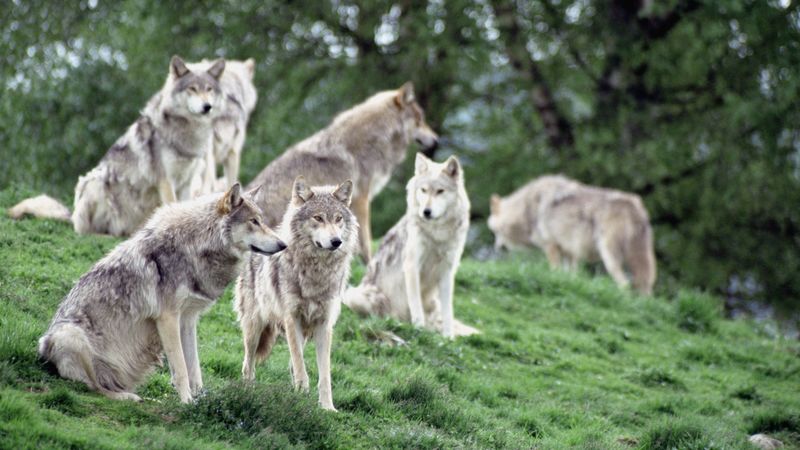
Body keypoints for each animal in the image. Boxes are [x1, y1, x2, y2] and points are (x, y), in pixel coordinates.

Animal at [8, 55, 226, 236]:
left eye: (209, 89)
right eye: (192, 89)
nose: (207, 107)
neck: (186, 133)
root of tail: (72, 214)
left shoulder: (187, 182)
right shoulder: (165, 180)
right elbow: (172, 204)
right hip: (95, 182)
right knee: (85, 232)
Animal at [38, 184, 286, 403]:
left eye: (262, 220)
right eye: (254, 221)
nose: (283, 244)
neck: (196, 247)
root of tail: (43, 351)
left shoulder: (188, 320)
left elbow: (194, 369)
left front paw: (201, 400)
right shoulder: (168, 318)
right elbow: (181, 369)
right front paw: (187, 403)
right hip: (70, 335)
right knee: (95, 387)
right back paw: (129, 398)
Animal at [235, 176, 357, 411]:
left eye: (338, 219)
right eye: (318, 217)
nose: (336, 241)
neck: (316, 274)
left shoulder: (324, 325)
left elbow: (324, 375)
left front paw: (327, 407)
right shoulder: (292, 319)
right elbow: (301, 365)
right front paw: (302, 393)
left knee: (292, 362)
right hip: (254, 328)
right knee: (248, 364)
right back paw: (248, 392)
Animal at [344, 154, 479, 339]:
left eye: (440, 191)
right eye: (423, 190)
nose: (426, 212)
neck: (438, 233)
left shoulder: (447, 272)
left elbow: (448, 312)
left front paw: (448, 337)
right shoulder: (412, 266)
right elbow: (415, 305)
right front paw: (418, 328)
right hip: (362, 296)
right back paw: (398, 322)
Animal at [488, 175, 656, 295]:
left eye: (495, 232)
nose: (497, 248)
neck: (526, 208)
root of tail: (635, 208)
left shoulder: (551, 246)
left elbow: (555, 270)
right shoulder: (570, 252)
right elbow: (570, 275)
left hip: (610, 257)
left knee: (625, 284)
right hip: (639, 261)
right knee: (645, 285)